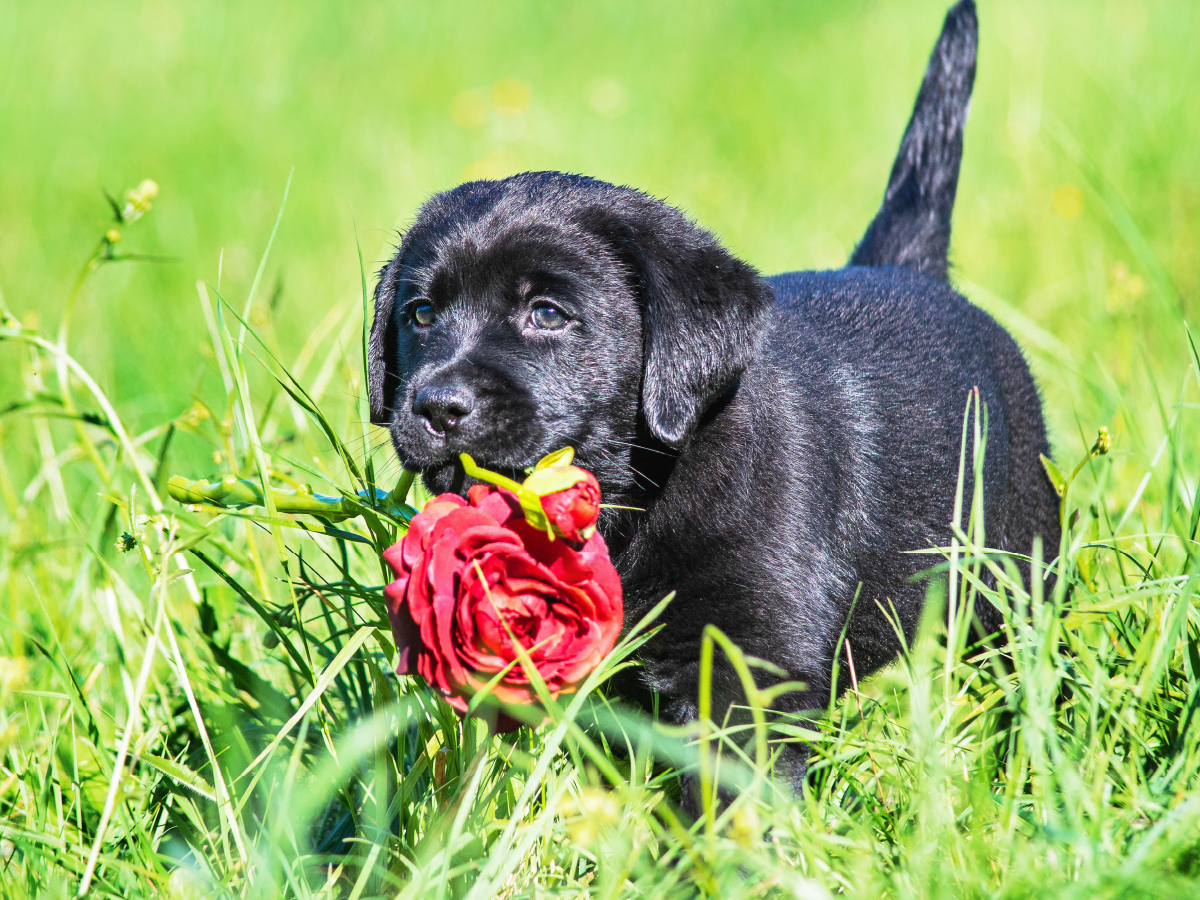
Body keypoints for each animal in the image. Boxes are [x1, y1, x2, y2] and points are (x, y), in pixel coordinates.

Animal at [367, 0, 1060, 787]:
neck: (637, 502)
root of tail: (910, 270)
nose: (435, 406)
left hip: (1016, 576)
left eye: (547, 312)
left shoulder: (744, 669)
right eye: (421, 314)